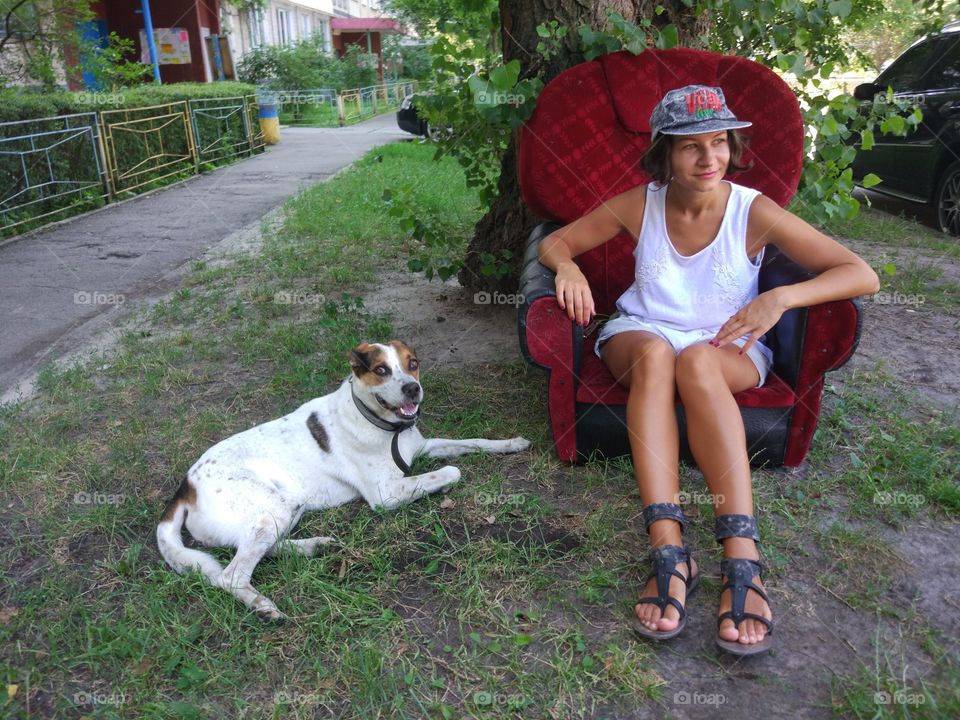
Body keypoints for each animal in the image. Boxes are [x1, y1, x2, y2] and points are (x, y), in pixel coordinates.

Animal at [158, 338, 532, 620]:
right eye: (381, 370)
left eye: (412, 363)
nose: (413, 388)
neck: (383, 426)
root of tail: (185, 486)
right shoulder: (385, 495)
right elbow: (453, 471)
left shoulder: (423, 447)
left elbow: (474, 442)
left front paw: (512, 443)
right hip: (271, 510)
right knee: (231, 574)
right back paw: (263, 606)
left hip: (286, 508)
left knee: (263, 549)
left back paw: (314, 547)